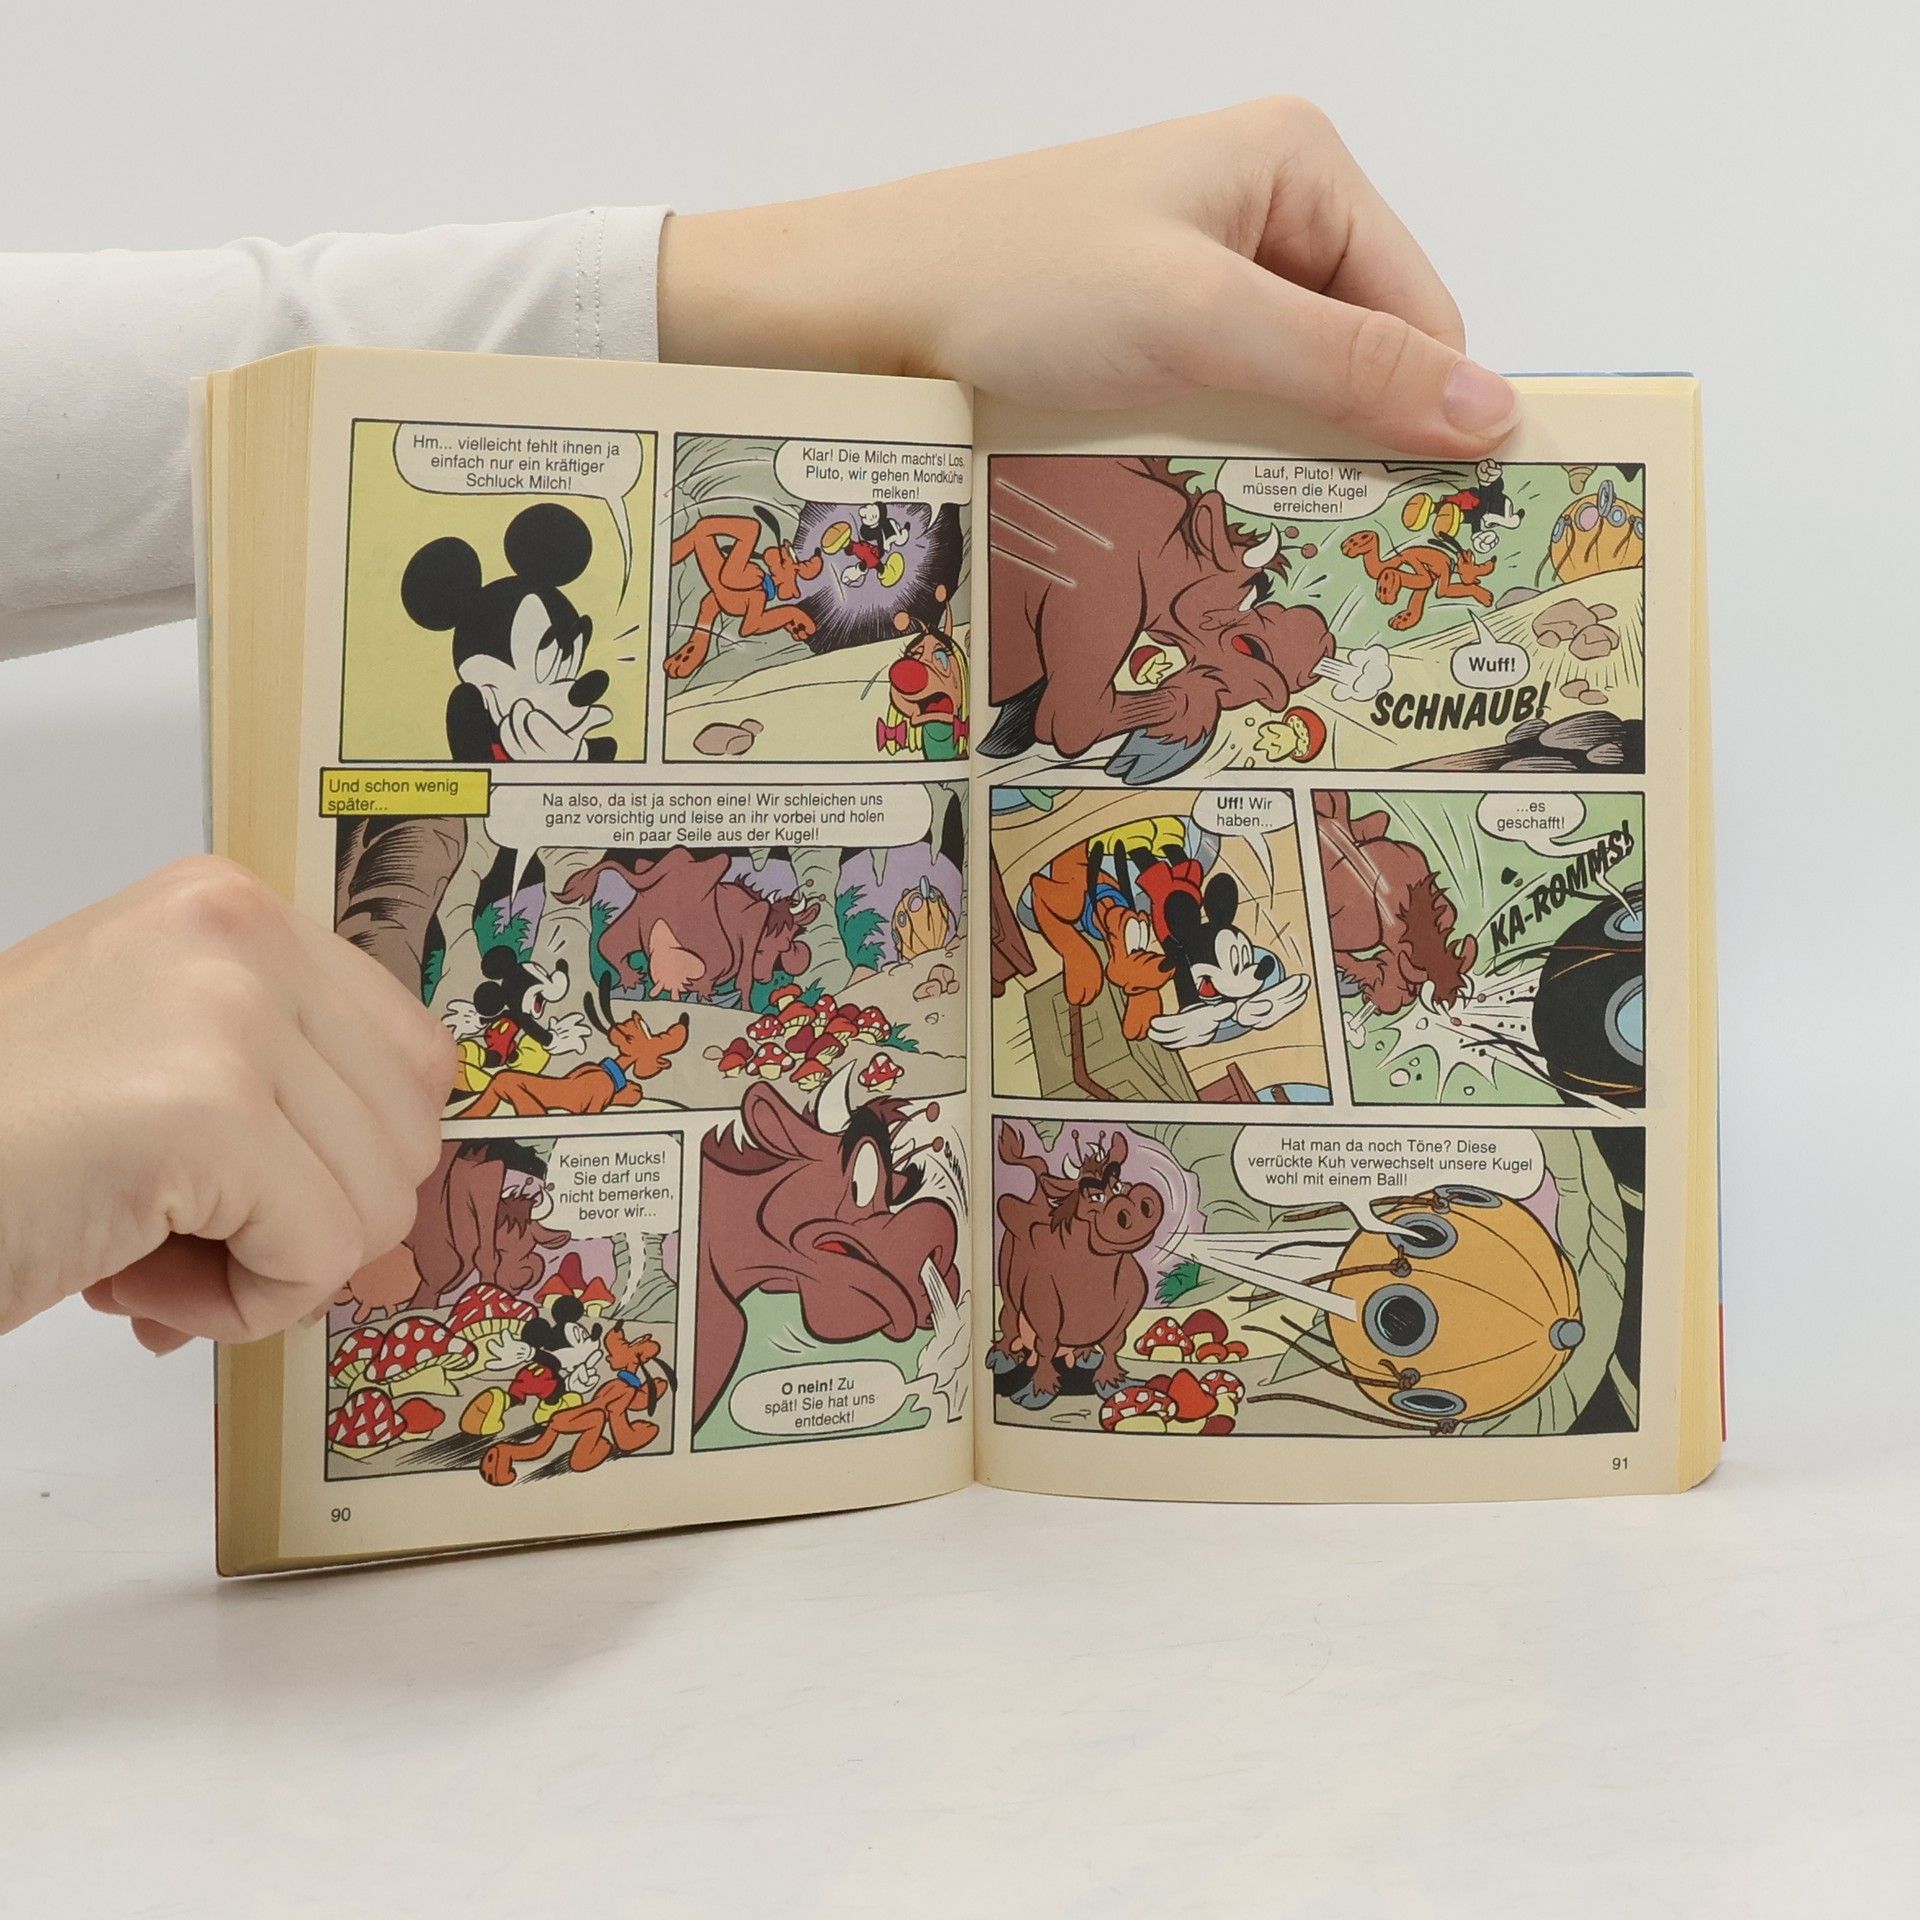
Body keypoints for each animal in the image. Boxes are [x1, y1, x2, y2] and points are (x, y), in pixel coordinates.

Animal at [990, 1124, 1165, 1409]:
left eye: (1118, 1188)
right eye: (1095, 1197)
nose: (1138, 1202)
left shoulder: (1130, 1302)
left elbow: (1113, 1342)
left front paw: (1113, 1382)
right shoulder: (1044, 1309)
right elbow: (1046, 1346)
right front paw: (1039, 1392)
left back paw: (1085, 1355)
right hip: (1007, 1278)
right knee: (1009, 1318)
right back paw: (1002, 1358)